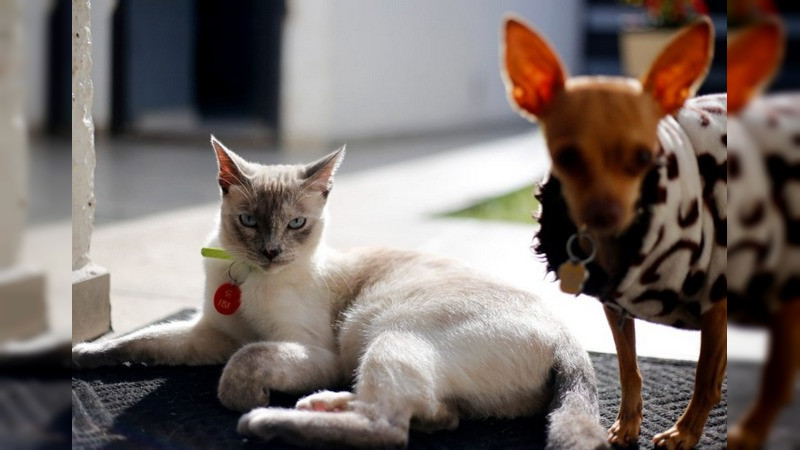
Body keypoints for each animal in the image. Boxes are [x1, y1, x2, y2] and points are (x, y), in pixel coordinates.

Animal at [73, 137, 608, 450]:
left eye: (295, 225)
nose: (271, 251)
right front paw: (84, 353)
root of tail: (570, 341)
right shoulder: (209, 335)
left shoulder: (310, 350)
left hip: (382, 336)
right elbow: (139, 341)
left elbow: (245, 360)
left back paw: (266, 420)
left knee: (390, 428)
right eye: (248, 221)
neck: (248, 279)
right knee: (435, 417)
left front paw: (241, 398)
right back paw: (319, 404)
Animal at [504, 15, 728, 448]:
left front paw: (686, 432)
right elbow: (628, 367)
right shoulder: (615, 303)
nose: (605, 213)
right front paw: (627, 425)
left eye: (644, 157)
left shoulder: (715, 302)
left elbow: (705, 375)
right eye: (566, 157)